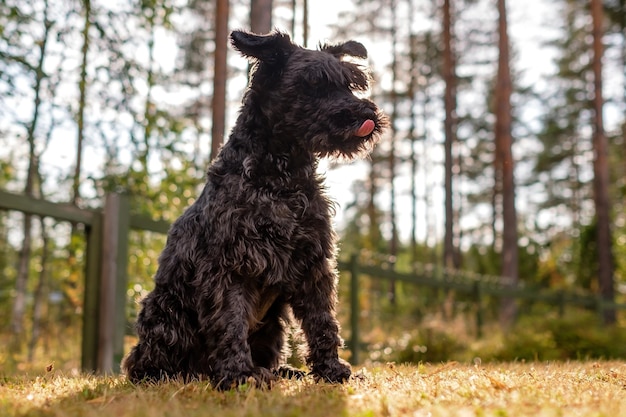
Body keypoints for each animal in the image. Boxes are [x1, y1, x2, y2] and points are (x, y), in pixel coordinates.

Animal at [122, 30, 386, 390]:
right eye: (311, 83)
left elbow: (323, 322)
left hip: (274, 324)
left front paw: (333, 371)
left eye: (350, 83)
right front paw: (239, 375)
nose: (364, 114)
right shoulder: (230, 266)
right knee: (145, 363)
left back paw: (284, 371)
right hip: (166, 313)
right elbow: (230, 321)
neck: (281, 177)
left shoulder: (314, 264)